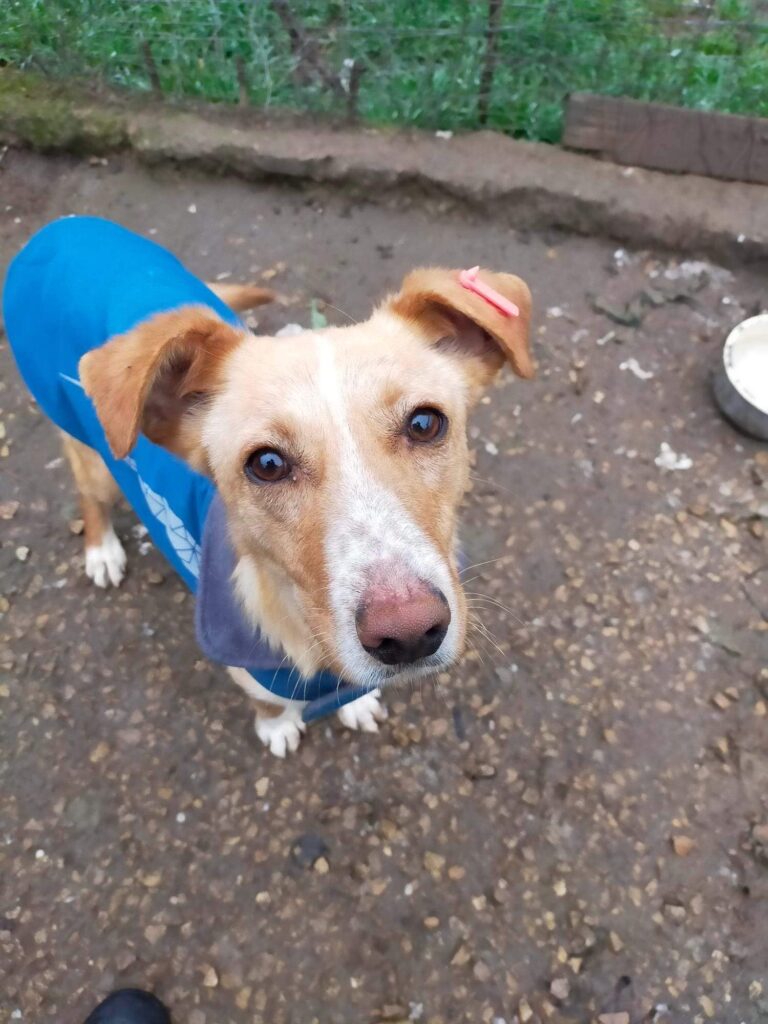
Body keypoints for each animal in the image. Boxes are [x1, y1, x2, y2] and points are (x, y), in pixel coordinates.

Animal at [3, 216, 533, 756]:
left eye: (425, 424)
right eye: (268, 464)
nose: (407, 634)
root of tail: (66, 227)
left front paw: (358, 702)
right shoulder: (247, 667)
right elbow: (269, 702)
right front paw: (278, 727)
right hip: (94, 453)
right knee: (89, 493)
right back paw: (102, 550)